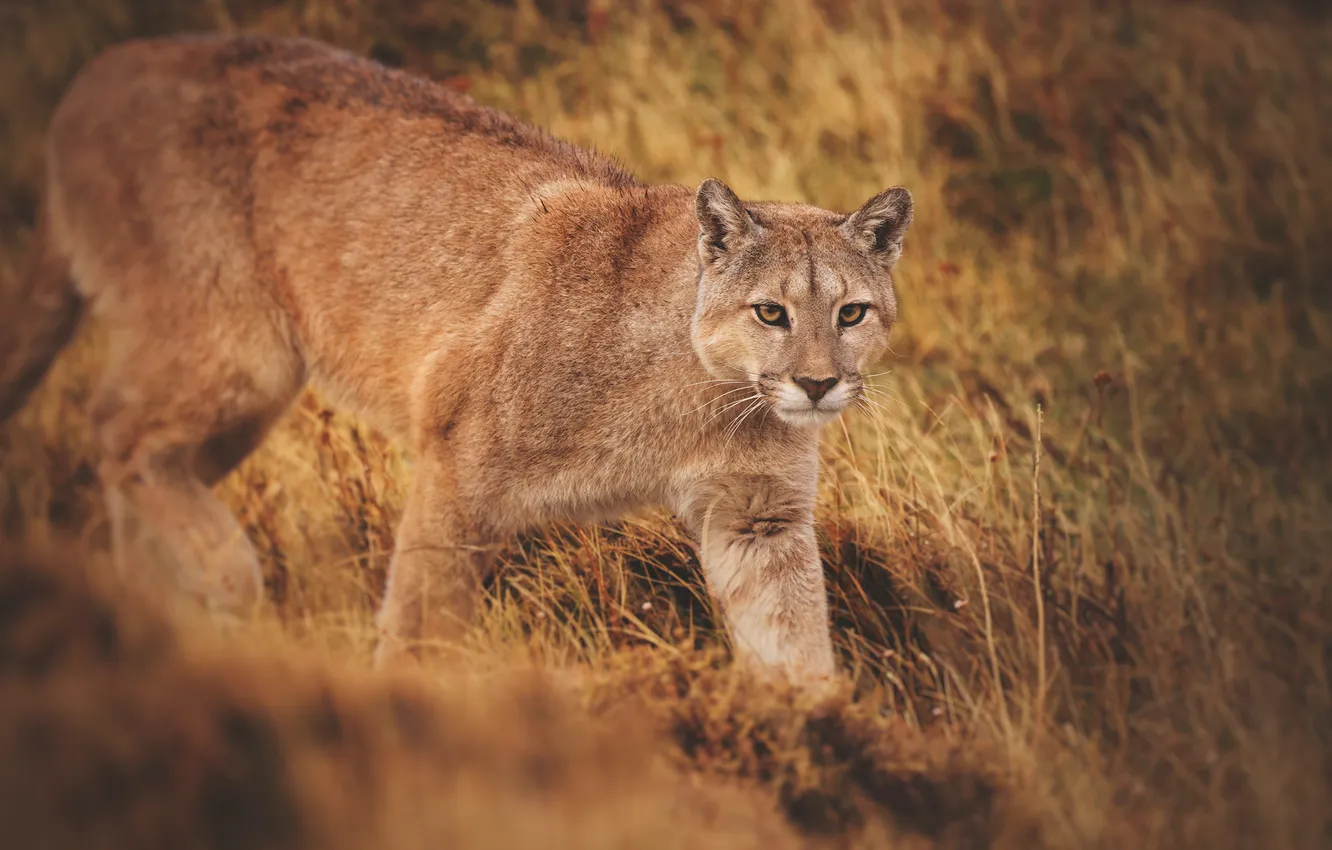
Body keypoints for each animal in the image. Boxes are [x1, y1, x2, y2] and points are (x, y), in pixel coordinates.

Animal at [0, 33, 913, 686]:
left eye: (851, 312)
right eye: (771, 313)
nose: (817, 383)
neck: (706, 401)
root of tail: (102, 69)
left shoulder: (759, 517)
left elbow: (795, 640)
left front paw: (823, 741)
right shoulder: (459, 460)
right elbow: (423, 619)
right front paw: (408, 706)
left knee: (133, 457)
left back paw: (156, 613)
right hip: (242, 348)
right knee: (117, 430)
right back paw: (223, 574)